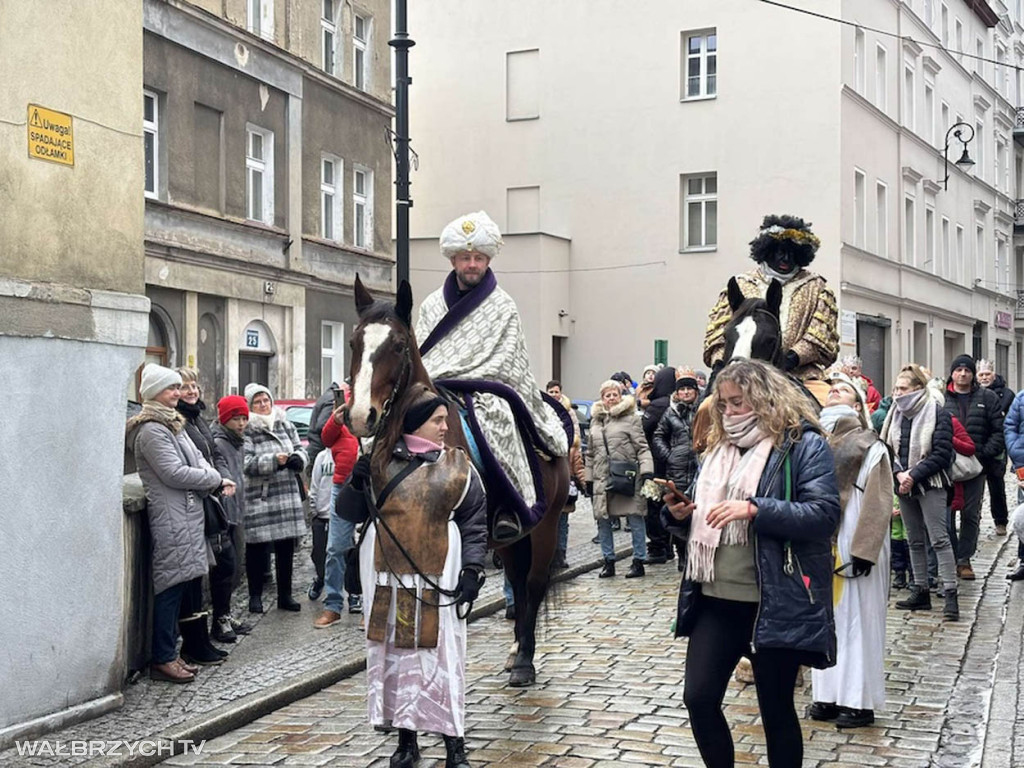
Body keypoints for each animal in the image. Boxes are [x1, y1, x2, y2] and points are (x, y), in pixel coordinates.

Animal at [342, 274, 569, 684]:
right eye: (355, 343)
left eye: (398, 345)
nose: (360, 416)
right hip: (511, 539)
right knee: (517, 580)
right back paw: (514, 651)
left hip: (545, 525)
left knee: (533, 583)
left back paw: (524, 661)